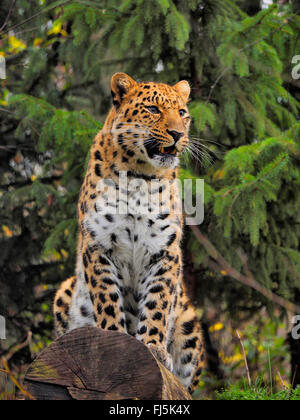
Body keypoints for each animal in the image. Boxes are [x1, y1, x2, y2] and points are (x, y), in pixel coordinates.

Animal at [52, 73, 205, 394]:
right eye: (153, 109)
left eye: (182, 112)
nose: (177, 134)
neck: (140, 177)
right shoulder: (98, 246)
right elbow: (107, 299)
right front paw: (114, 338)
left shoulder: (165, 252)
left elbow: (157, 303)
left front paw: (153, 347)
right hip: (65, 291)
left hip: (189, 323)